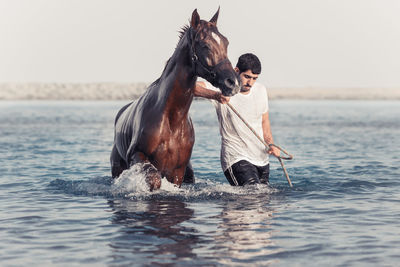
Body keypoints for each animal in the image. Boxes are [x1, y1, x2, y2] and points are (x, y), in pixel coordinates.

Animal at [110, 8, 241, 192]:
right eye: (205, 45)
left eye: (226, 42)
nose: (233, 82)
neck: (171, 118)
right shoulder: (138, 155)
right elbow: (154, 180)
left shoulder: (177, 171)